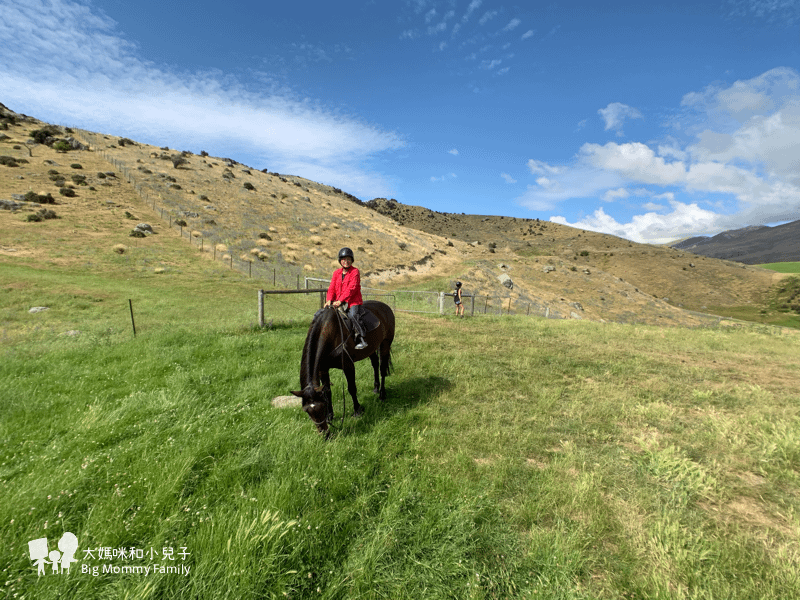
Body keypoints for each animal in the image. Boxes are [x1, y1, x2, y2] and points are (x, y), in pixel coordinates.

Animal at [292, 302, 396, 434]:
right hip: (372, 348)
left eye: (322, 407)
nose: (325, 434)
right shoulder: (323, 370)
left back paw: (382, 395)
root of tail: (385, 306)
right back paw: (376, 388)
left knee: (382, 369)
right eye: (307, 411)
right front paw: (330, 415)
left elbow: (351, 388)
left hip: (385, 344)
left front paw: (357, 411)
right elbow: (327, 391)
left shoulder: (348, 366)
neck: (329, 332)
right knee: (375, 364)